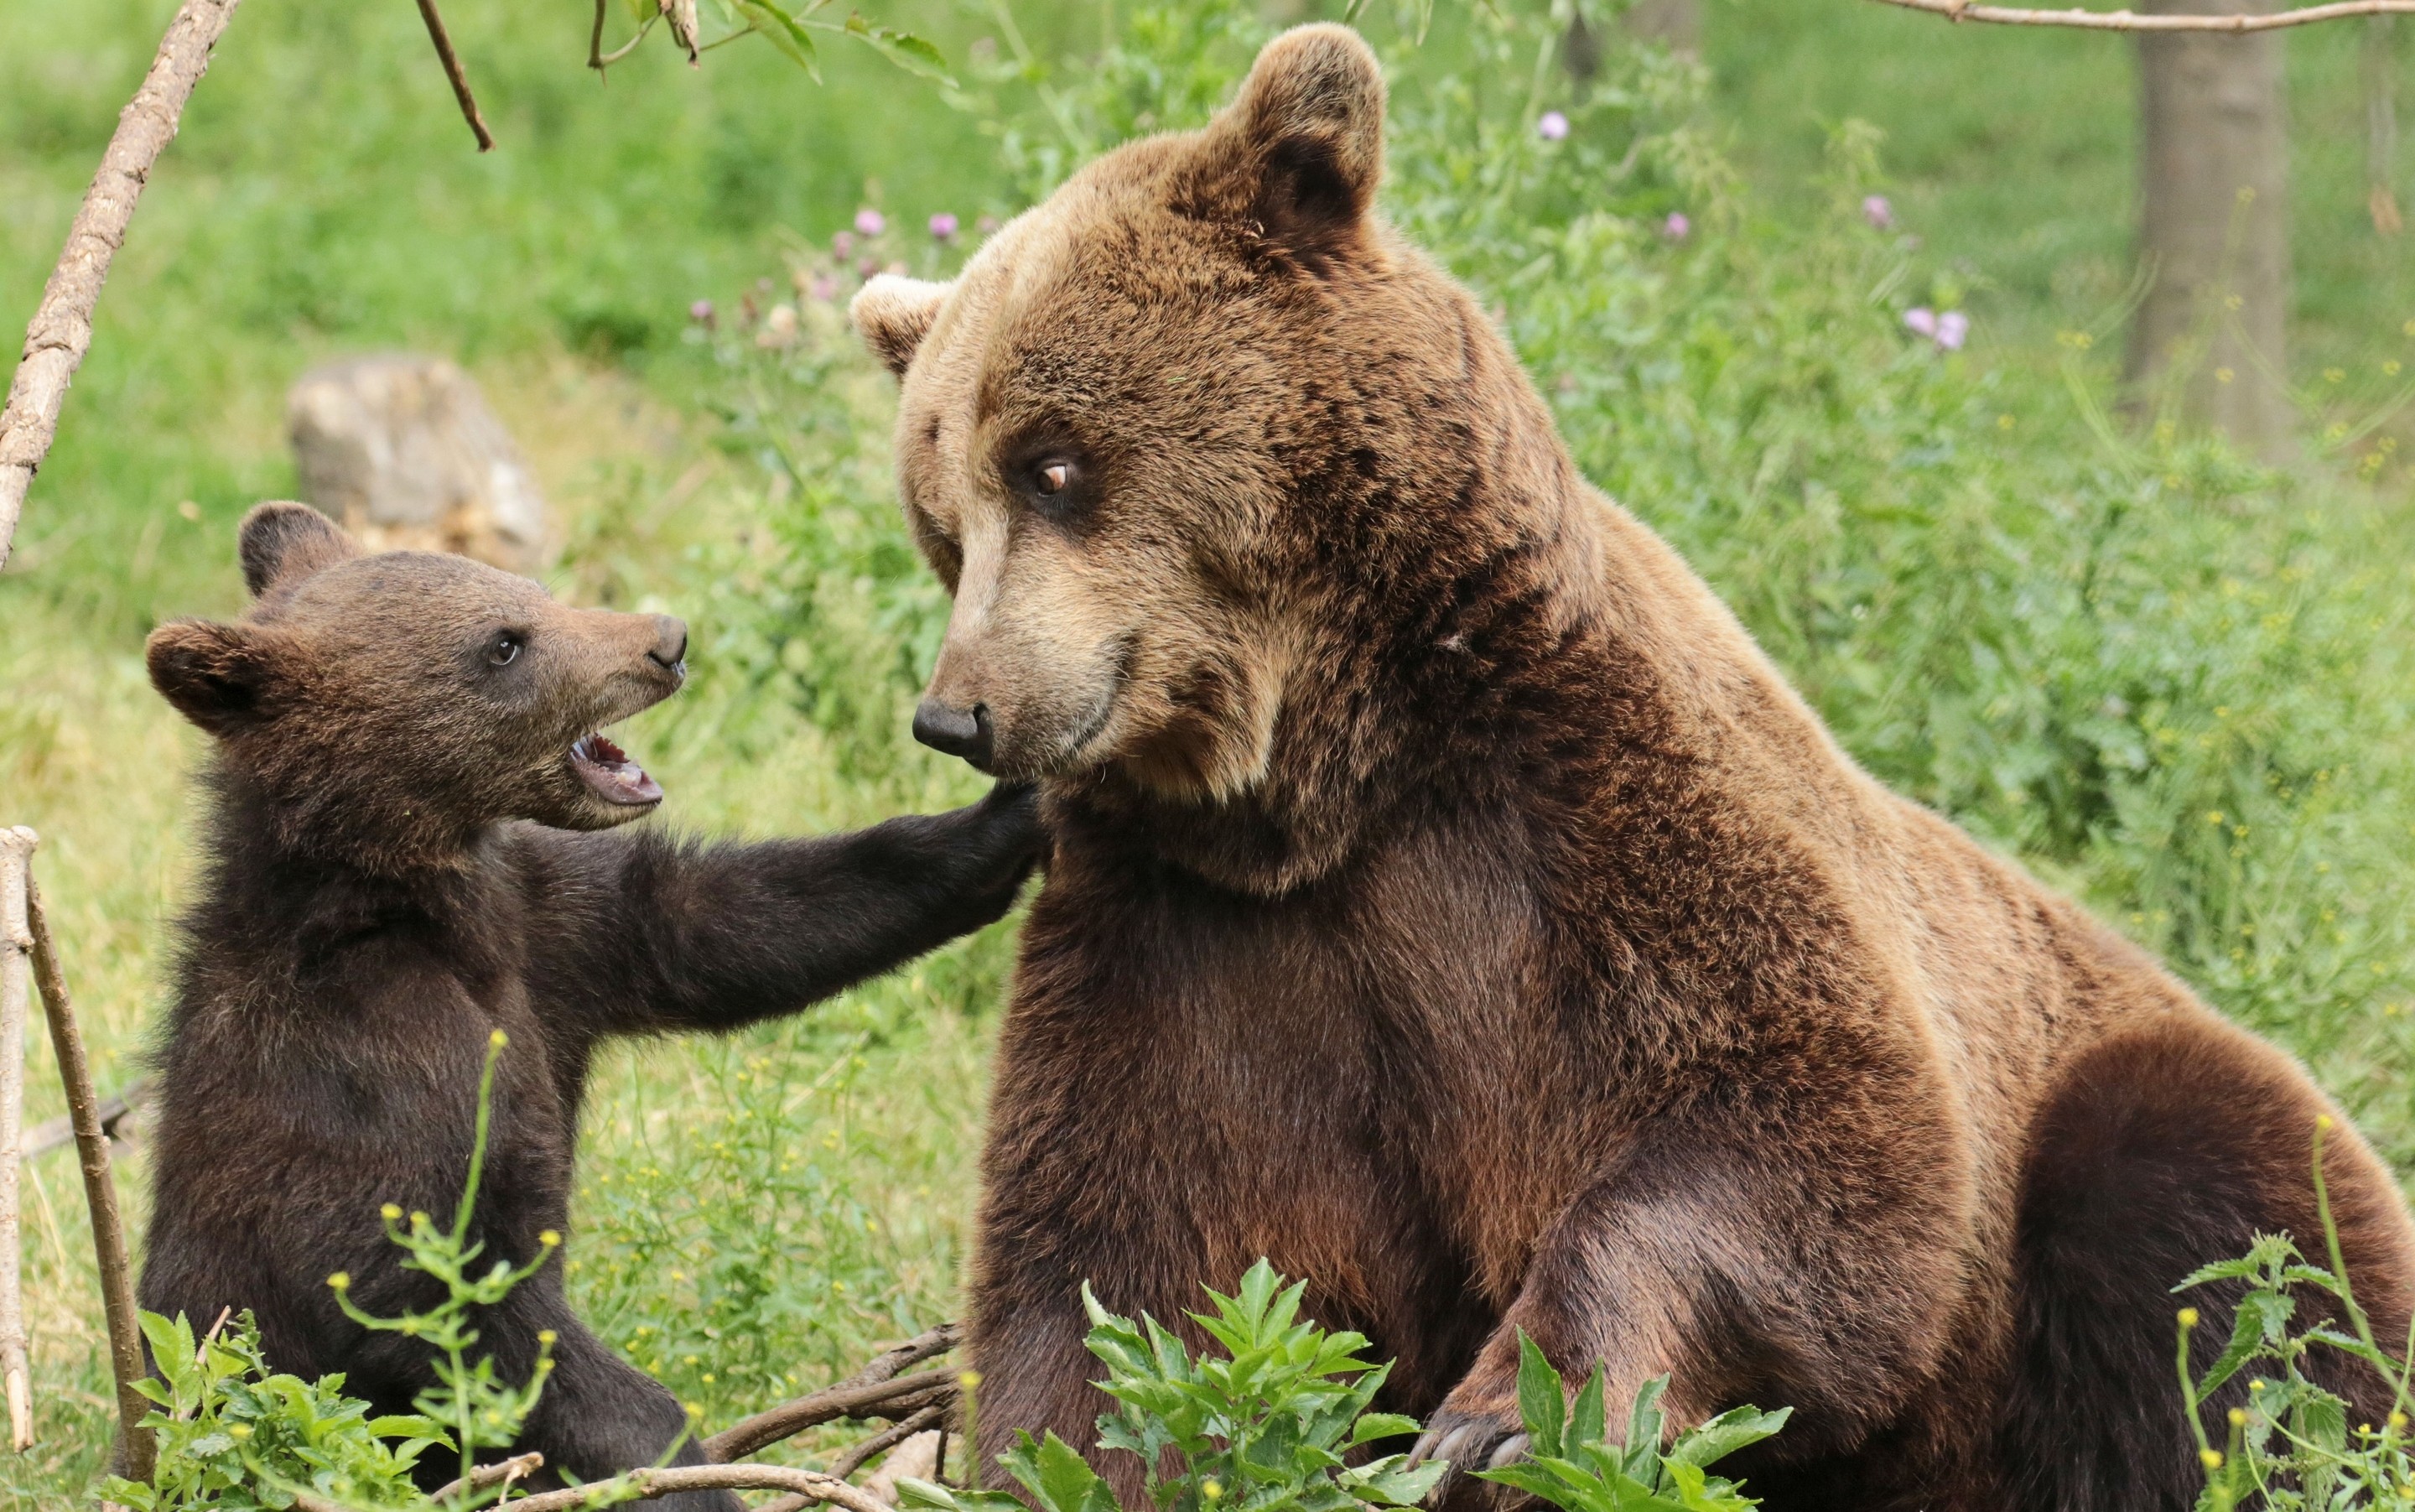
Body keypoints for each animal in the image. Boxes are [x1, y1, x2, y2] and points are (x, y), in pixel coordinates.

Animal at [849, 26, 2415, 1507]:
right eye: (942, 517)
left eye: (1052, 464)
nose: (959, 711)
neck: (1332, 776)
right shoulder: (1200, 947)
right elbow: (1125, 1264)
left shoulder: (1596, 818)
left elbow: (1806, 1130)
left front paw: (1505, 1412)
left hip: (2127, 1126)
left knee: (2231, 1243)